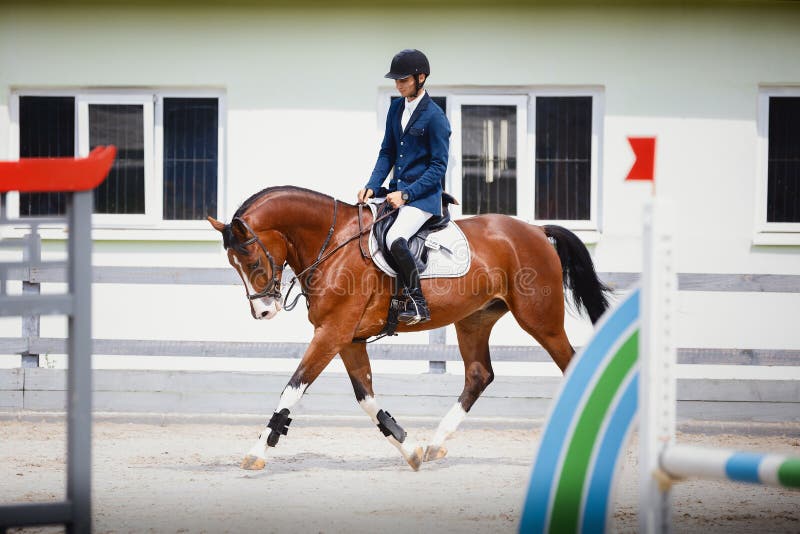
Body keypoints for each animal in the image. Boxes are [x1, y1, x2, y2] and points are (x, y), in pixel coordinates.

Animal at [208, 187, 612, 474]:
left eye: (251, 260)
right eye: (233, 264)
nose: (263, 310)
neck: (333, 244)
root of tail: (536, 230)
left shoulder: (332, 333)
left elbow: (293, 388)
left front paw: (256, 451)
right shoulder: (348, 339)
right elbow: (366, 398)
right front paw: (410, 448)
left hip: (540, 321)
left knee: (568, 363)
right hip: (474, 320)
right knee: (479, 375)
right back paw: (434, 444)